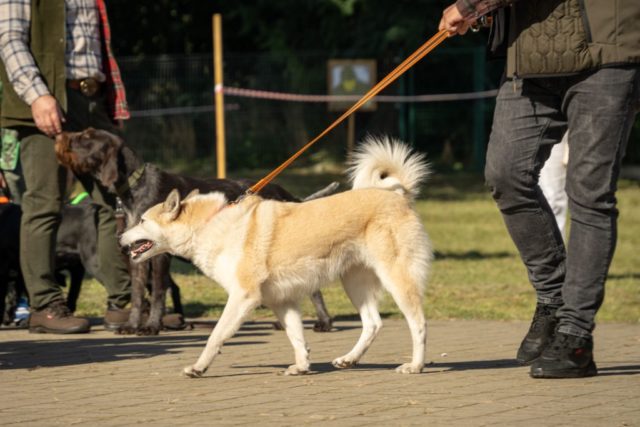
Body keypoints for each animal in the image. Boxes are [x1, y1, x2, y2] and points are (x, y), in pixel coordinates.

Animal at [55, 128, 335, 335]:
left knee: (314, 288)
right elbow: (137, 294)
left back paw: (324, 322)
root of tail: (285, 194)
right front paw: (133, 325)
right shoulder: (139, 255)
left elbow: (158, 293)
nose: (59, 135)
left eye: (86, 137)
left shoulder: (161, 256)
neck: (135, 186)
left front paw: (152, 326)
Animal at [121, 136, 432, 377]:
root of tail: (399, 196)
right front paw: (302, 366)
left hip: (396, 279)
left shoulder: (242, 297)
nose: (120, 238)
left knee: (418, 324)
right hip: (355, 283)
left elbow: (216, 335)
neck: (210, 223)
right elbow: (296, 336)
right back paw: (349, 359)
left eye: (143, 220)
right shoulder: (281, 300)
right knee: (372, 324)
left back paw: (415, 365)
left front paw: (198, 368)